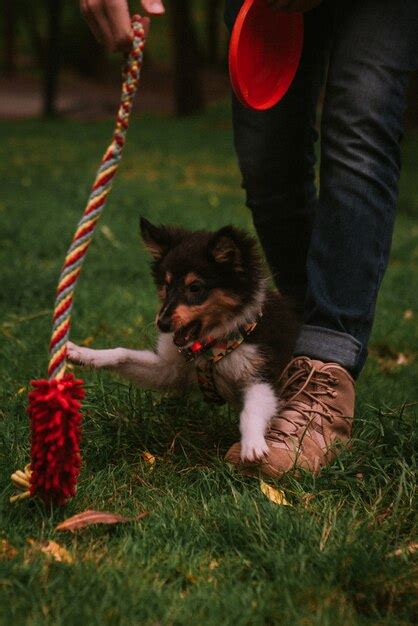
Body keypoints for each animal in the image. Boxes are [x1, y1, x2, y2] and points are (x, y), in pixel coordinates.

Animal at [70, 217, 302, 460]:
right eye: (166, 285)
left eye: (195, 287)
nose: (162, 324)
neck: (211, 345)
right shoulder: (171, 369)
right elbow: (123, 354)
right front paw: (83, 354)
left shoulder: (262, 375)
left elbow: (252, 411)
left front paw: (252, 446)